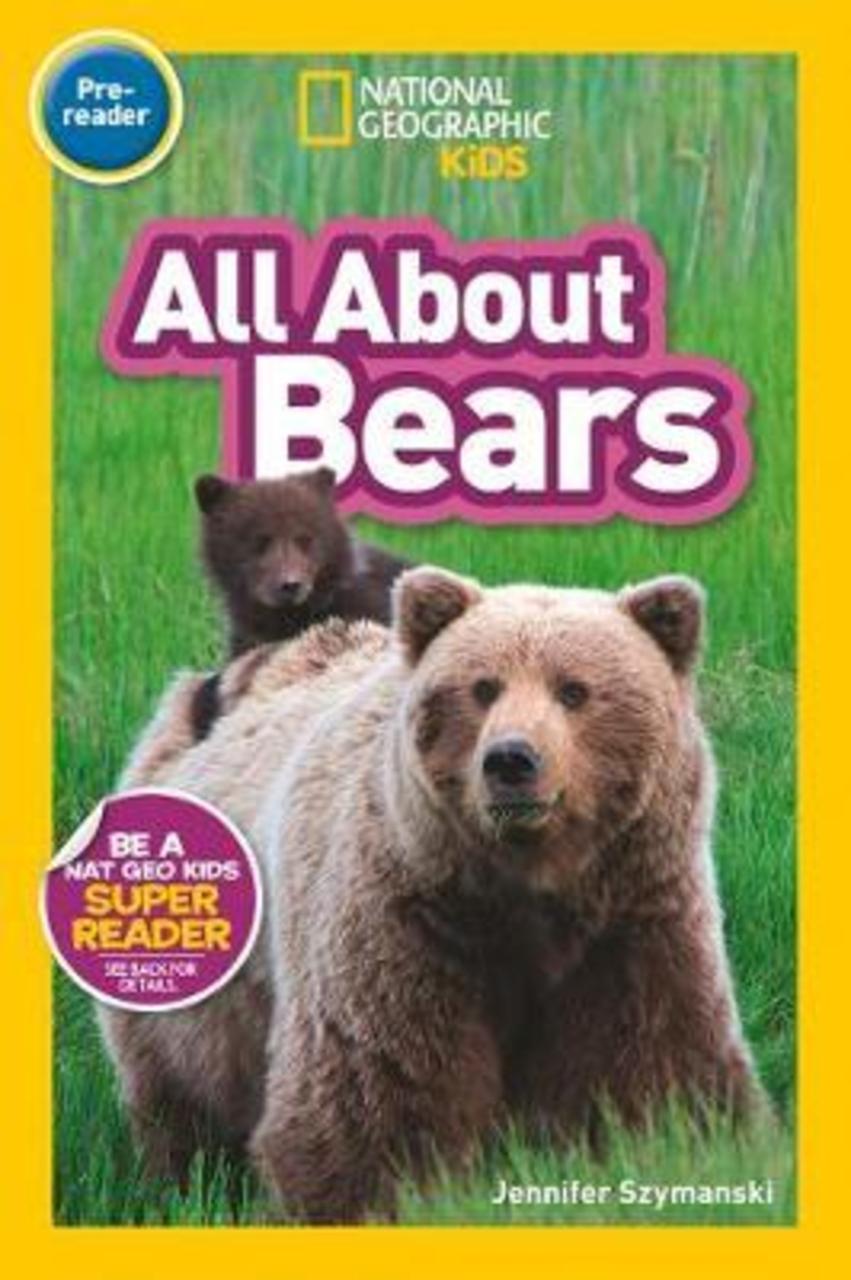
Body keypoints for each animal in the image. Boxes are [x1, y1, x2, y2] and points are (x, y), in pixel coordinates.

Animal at [99, 567, 765, 1224]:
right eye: (484, 687)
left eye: (574, 690)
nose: (511, 759)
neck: (529, 890)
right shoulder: (406, 914)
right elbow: (380, 1086)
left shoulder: (633, 918)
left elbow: (651, 1066)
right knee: (181, 1085)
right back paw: (181, 1182)